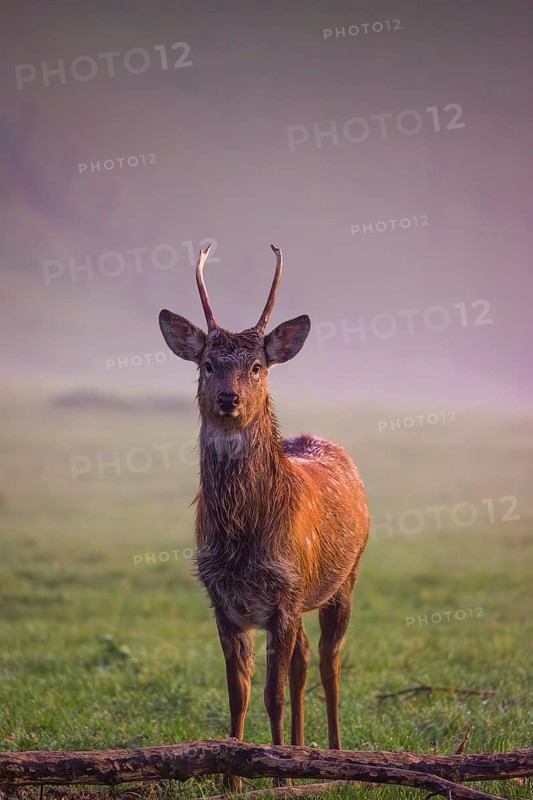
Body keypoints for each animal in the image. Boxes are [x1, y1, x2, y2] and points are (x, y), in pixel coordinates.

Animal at [159, 244, 369, 791]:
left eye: (256, 366)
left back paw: (335, 755)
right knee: (302, 662)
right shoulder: (223, 600)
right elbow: (240, 693)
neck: (243, 542)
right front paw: (232, 777)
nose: (228, 398)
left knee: (329, 660)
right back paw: (302, 749)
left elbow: (271, 695)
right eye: (208, 364)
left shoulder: (284, 594)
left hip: (345, 576)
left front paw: (277, 774)